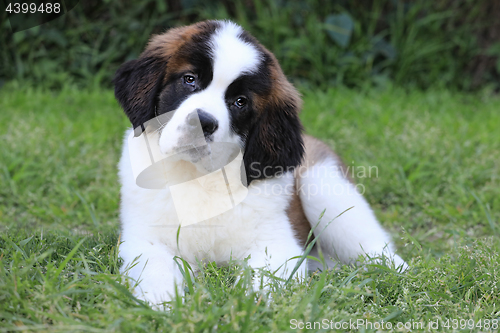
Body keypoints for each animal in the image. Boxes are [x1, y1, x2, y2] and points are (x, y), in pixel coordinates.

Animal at [113, 20, 406, 306]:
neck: (200, 175)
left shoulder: (277, 244)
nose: (203, 123)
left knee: (377, 249)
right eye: (189, 79)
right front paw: (162, 304)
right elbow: (155, 268)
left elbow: (266, 281)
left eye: (240, 102)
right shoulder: (143, 239)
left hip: (324, 187)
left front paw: (252, 307)